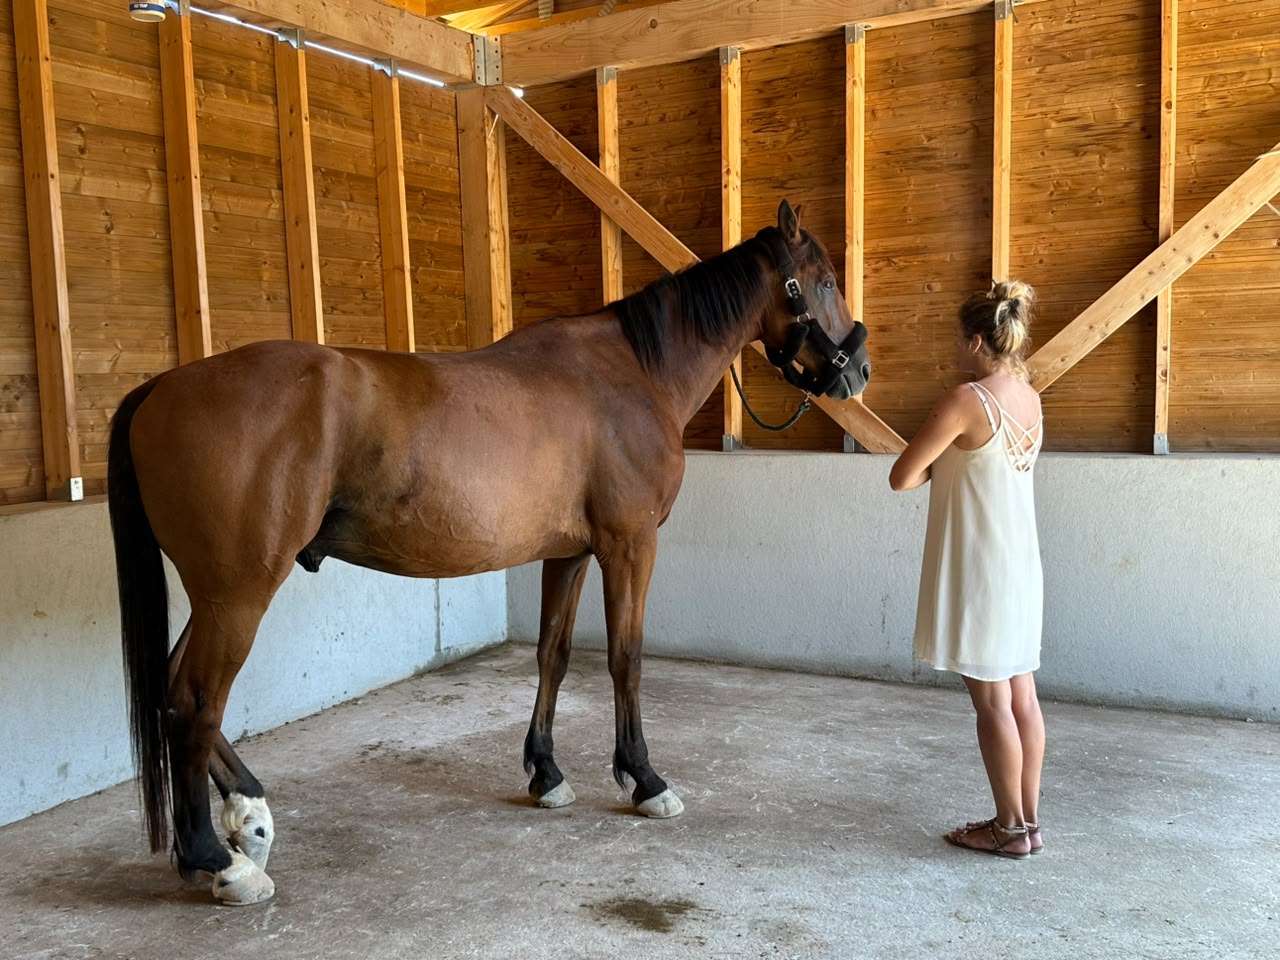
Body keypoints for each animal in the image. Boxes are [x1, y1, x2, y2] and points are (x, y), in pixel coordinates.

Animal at [107, 199, 871, 905]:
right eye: (825, 281)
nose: (858, 369)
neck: (632, 373)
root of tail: (161, 387)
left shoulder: (571, 552)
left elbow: (553, 655)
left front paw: (547, 774)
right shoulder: (630, 544)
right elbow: (625, 657)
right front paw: (645, 779)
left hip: (218, 593)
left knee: (173, 688)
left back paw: (250, 818)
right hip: (239, 590)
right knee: (194, 700)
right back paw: (219, 860)